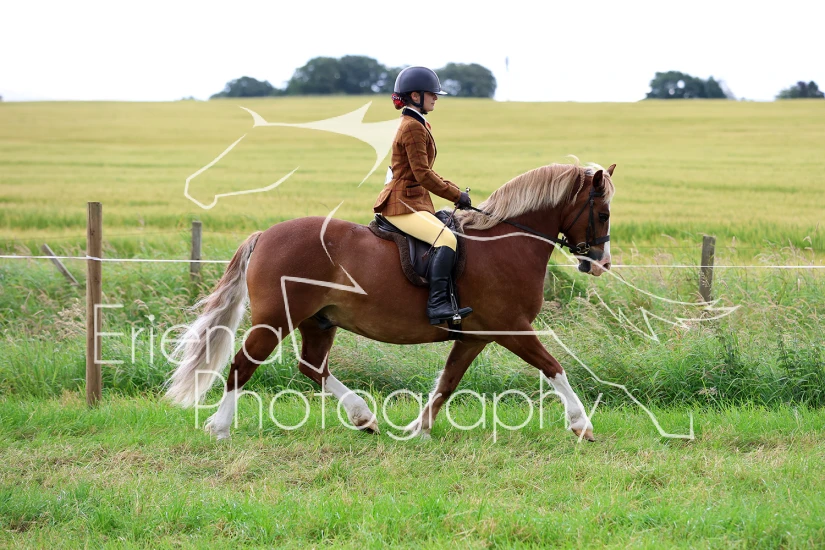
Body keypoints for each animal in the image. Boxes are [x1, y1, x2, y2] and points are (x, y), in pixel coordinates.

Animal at [165, 161, 615, 441]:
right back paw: (221, 428)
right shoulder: (512, 328)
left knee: (312, 366)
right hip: (276, 319)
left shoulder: (475, 336)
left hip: (318, 321)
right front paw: (582, 425)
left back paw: (363, 417)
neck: (507, 241)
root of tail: (265, 234)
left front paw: (418, 430)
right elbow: (554, 367)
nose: (601, 263)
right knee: (244, 364)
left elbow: (447, 382)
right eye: (604, 214)